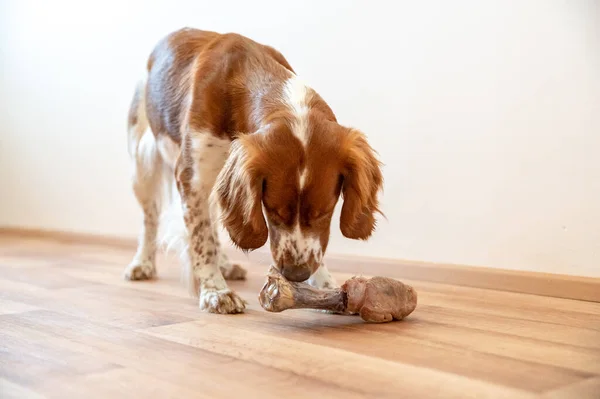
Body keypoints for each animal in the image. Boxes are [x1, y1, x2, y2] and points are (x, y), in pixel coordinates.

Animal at [124, 28, 382, 316]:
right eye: (273, 210)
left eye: (325, 211)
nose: (296, 274)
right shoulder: (192, 177)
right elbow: (202, 240)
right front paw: (215, 292)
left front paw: (326, 286)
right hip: (142, 165)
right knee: (150, 219)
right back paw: (142, 263)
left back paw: (225, 264)